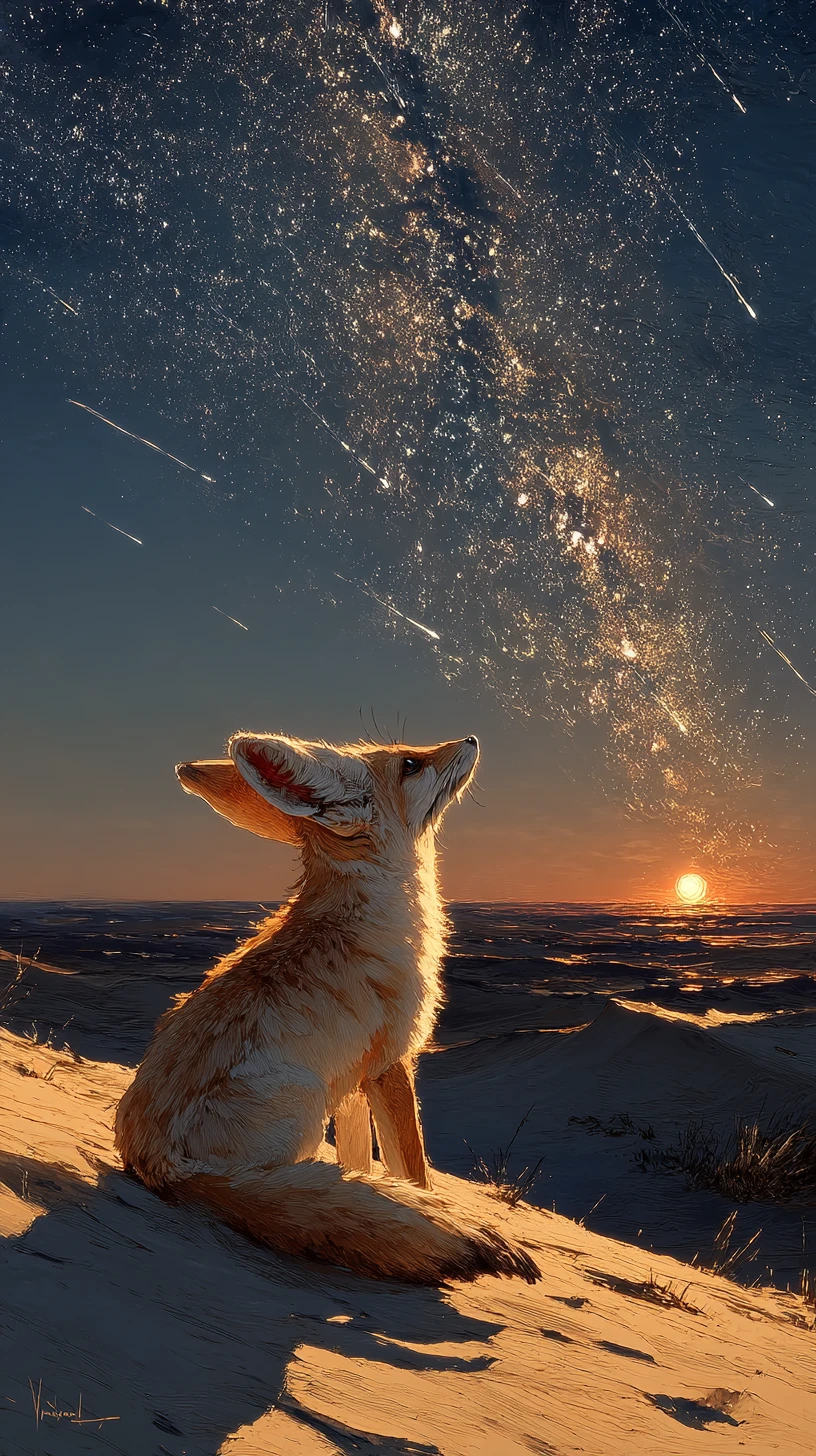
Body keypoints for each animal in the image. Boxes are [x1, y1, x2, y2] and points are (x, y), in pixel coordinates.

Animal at [114, 729, 540, 1286]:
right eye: (410, 764)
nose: (470, 738)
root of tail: (155, 1164)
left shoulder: (352, 1081)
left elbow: (360, 1161)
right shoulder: (389, 1063)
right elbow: (412, 1169)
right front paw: (422, 1202)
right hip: (304, 1103)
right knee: (279, 1184)